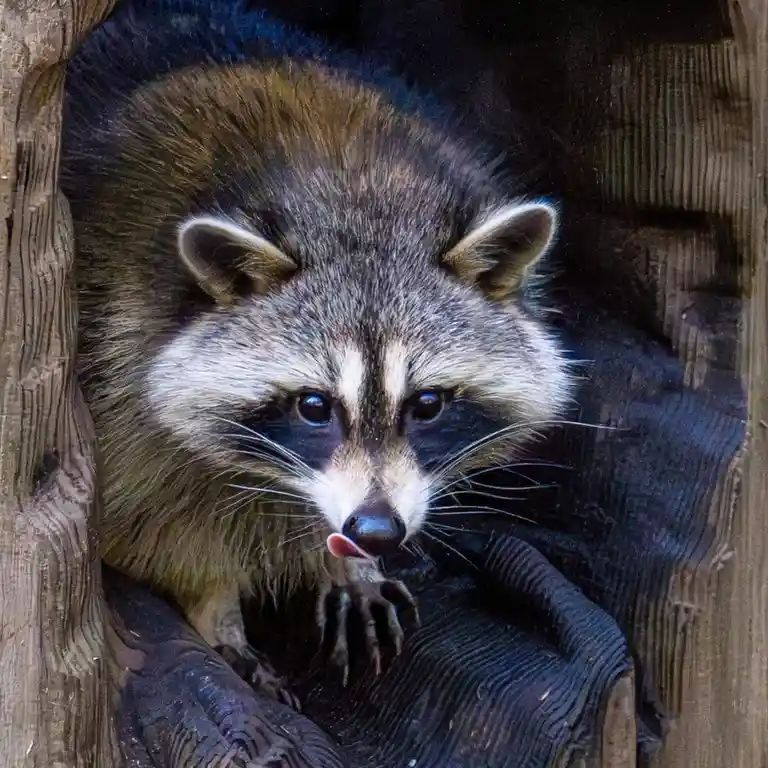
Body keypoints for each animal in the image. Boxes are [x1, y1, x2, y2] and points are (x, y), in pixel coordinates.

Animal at [62, 0, 575, 707]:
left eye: (428, 404)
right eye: (313, 406)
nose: (376, 532)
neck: (349, 193)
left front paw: (346, 567)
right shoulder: (115, 352)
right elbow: (146, 517)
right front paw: (215, 605)